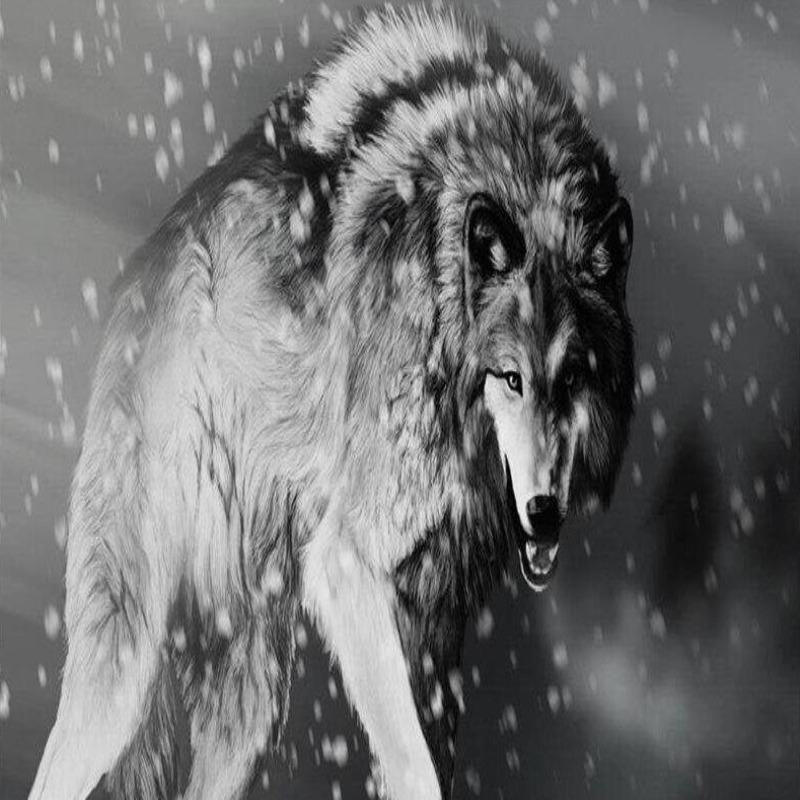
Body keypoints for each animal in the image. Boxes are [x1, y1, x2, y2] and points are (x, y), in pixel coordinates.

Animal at [29, 5, 635, 800]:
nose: (544, 513)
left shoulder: (436, 621)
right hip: (124, 665)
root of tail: (141, 269)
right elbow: (412, 765)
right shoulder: (347, 564)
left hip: (253, 698)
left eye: (571, 379)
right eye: (511, 378)